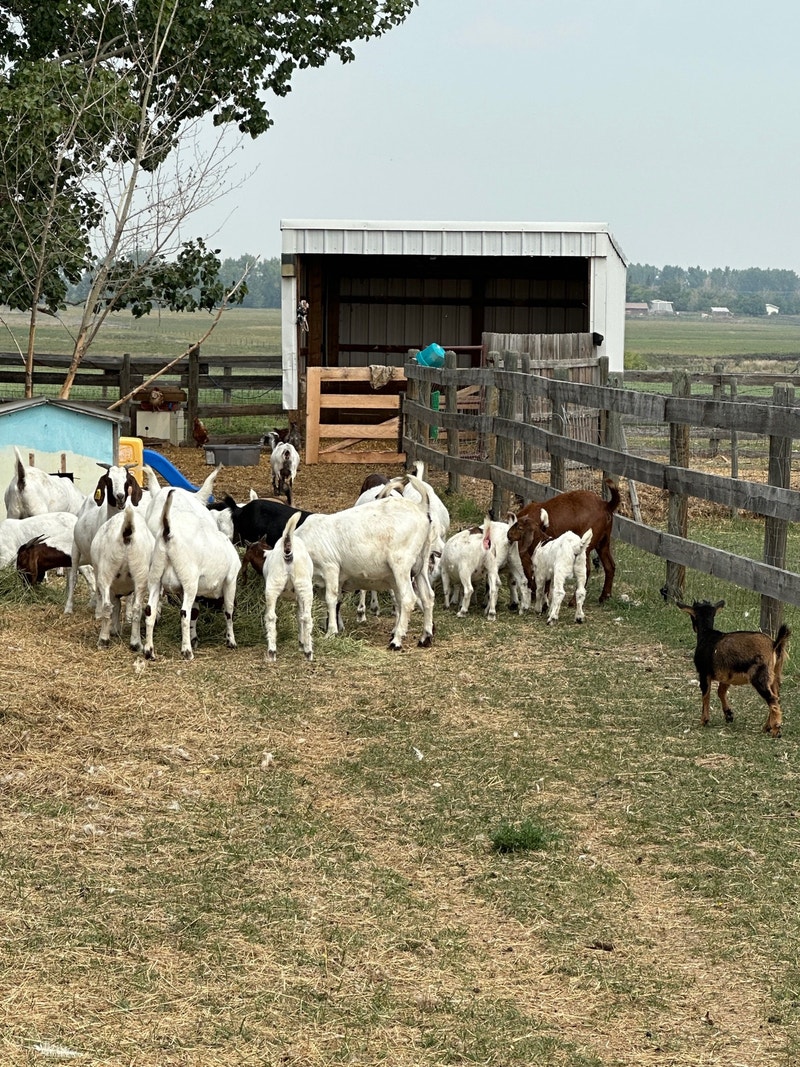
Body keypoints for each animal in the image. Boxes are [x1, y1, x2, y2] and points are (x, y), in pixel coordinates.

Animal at [64, 463, 142, 614]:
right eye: (109, 480)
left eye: (127, 479)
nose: (120, 496)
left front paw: (129, 614)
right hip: (76, 549)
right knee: (73, 576)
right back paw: (69, 608)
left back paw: (93, 602)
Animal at [90, 503, 155, 651]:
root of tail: (127, 530)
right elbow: (118, 605)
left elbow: (116, 605)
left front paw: (114, 630)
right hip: (140, 572)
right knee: (137, 609)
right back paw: (136, 643)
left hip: (106, 570)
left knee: (107, 606)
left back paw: (103, 640)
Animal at [144, 488, 240, 661]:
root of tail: (168, 533)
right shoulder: (230, 580)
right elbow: (228, 610)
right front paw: (231, 641)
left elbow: (195, 612)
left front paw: (194, 637)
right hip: (189, 581)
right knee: (184, 613)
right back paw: (187, 651)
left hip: (155, 578)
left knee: (150, 611)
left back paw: (149, 651)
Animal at [263, 511, 314, 662]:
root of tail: (288, 551)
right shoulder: (299, 597)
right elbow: (300, 616)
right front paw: (302, 644)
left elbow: (299, 615)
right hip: (304, 586)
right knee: (307, 618)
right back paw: (308, 652)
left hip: (274, 585)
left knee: (271, 616)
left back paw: (272, 651)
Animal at [677, 599, 790, 737]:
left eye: (692, 616)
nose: (694, 628)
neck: (707, 635)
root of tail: (774, 645)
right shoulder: (726, 675)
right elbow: (721, 691)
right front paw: (729, 715)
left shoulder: (703, 672)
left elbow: (706, 694)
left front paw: (704, 720)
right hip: (774, 675)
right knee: (776, 698)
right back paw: (767, 727)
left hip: (759, 676)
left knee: (772, 699)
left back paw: (776, 730)